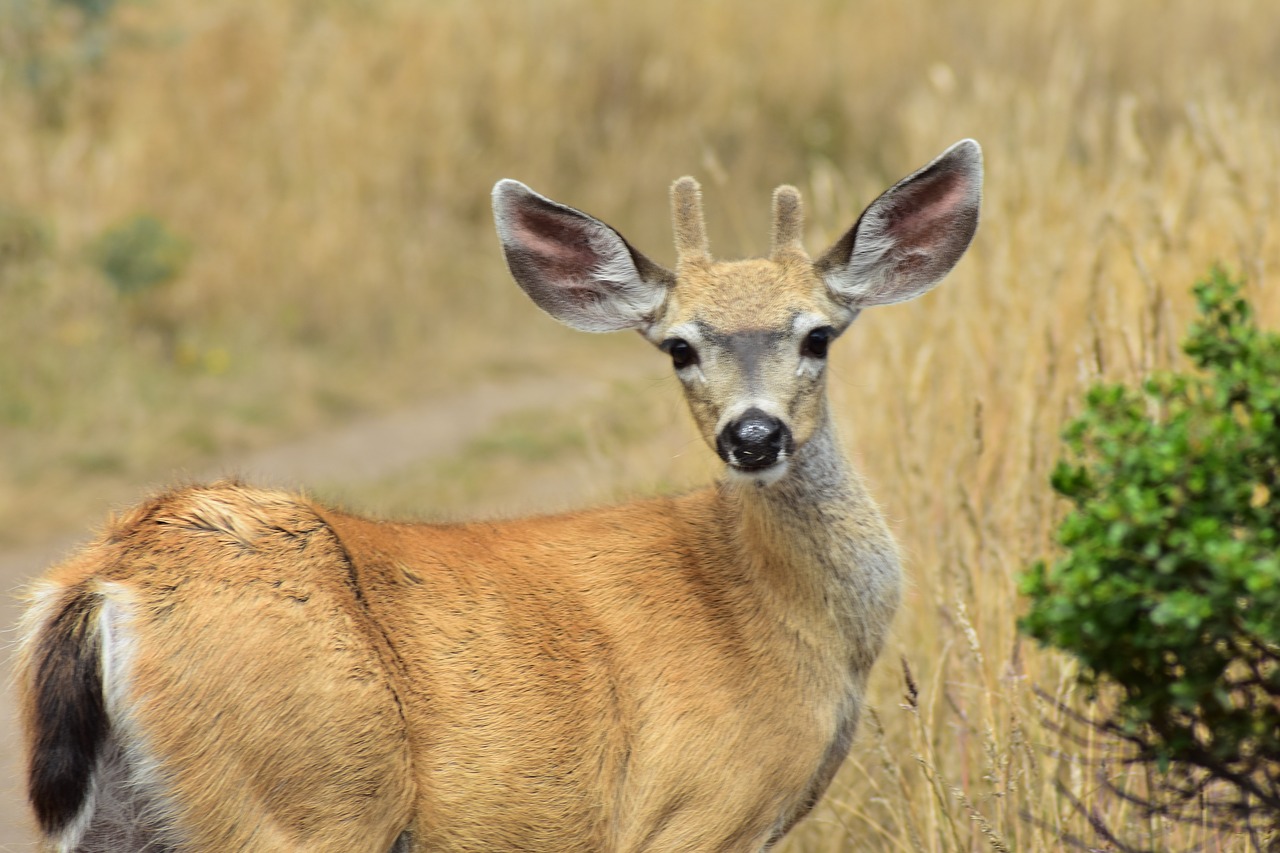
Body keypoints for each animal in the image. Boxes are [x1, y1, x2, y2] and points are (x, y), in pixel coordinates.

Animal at [17, 140, 977, 850]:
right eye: (678, 347)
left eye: (818, 335)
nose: (754, 435)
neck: (779, 610)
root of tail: (106, 579)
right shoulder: (693, 807)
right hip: (303, 796)